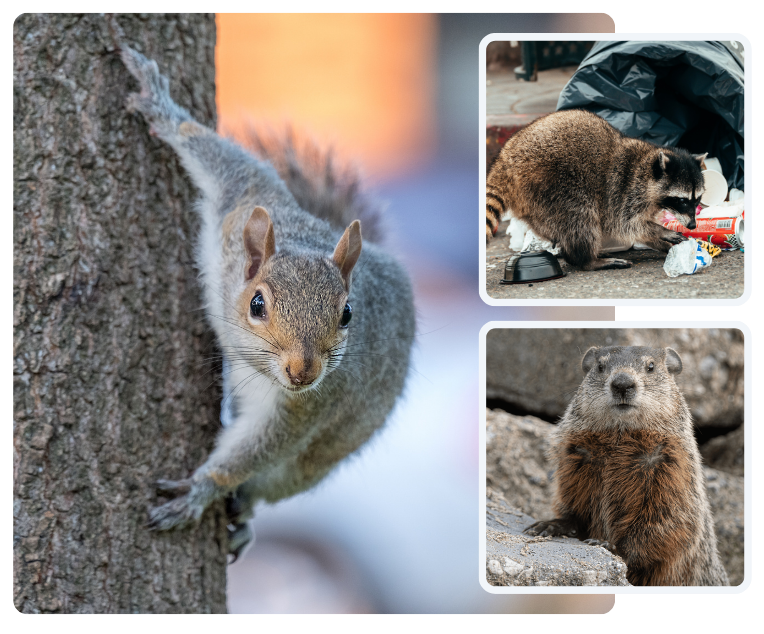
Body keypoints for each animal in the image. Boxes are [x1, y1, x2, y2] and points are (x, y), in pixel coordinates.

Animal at [118, 45, 415, 561]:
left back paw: (243, 516)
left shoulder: (309, 407)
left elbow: (256, 449)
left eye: (347, 314)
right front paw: (161, 107)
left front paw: (201, 490)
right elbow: (218, 155)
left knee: (266, 484)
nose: (303, 372)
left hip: (312, 464)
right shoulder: (242, 203)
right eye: (257, 305)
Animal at [524, 346, 729, 586]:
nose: (622, 383)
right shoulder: (574, 458)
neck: (620, 436)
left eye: (651, 366)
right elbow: (573, 498)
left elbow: (667, 517)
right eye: (600, 366)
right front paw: (551, 524)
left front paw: (611, 546)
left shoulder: (673, 466)